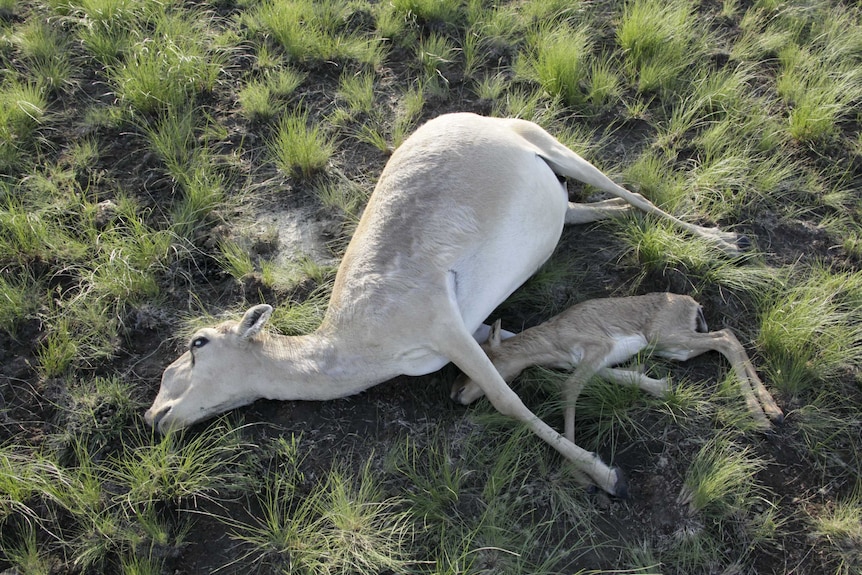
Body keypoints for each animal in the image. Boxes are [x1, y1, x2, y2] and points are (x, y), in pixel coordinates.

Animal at [145, 111, 744, 496]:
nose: (155, 416)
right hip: (559, 197)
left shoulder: (446, 327)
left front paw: (605, 475)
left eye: (197, 342)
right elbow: (546, 356)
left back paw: (721, 238)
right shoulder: (478, 331)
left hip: (553, 146)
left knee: (634, 192)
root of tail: (460, 116)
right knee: (591, 209)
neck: (354, 341)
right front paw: (655, 385)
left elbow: (508, 399)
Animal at [452, 294, 784, 448]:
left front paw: (577, 462)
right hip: (674, 348)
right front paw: (663, 387)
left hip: (667, 338)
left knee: (726, 338)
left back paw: (764, 416)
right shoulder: (594, 363)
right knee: (727, 336)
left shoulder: (596, 348)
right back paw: (771, 412)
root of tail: (692, 302)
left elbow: (569, 388)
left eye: (486, 355)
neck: (552, 340)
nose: (457, 394)